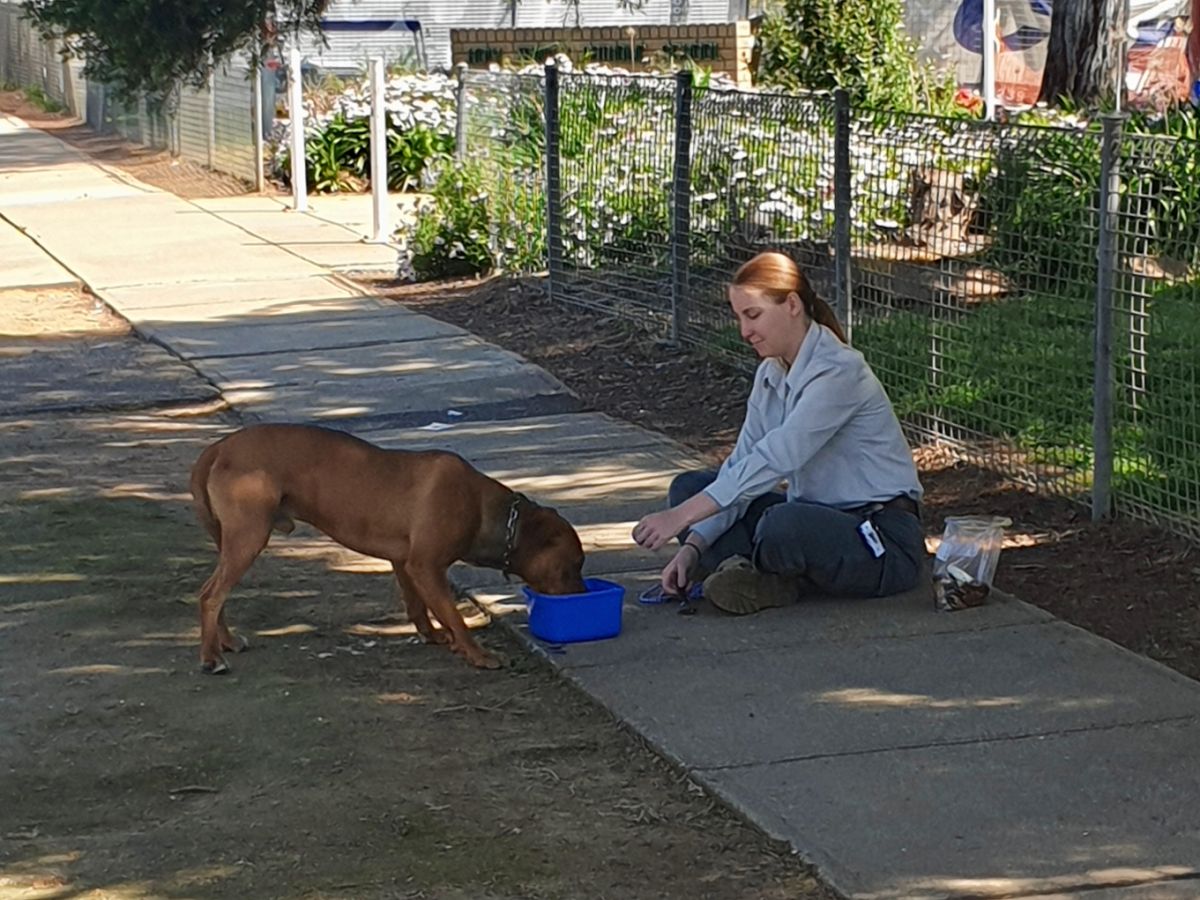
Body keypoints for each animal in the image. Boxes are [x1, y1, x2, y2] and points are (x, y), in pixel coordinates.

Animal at [187, 427, 585, 672]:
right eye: (573, 565)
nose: (582, 593)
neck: (490, 512)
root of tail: (219, 447)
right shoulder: (426, 566)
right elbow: (454, 615)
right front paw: (477, 653)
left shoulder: (405, 563)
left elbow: (419, 606)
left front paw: (434, 636)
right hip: (249, 536)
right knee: (210, 595)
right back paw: (210, 658)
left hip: (231, 540)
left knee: (217, 594)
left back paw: (224, 643)